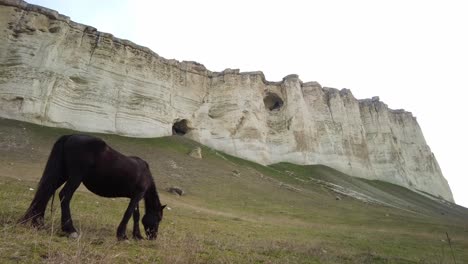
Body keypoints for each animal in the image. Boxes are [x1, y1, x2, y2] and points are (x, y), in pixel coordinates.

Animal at [19, 135, 165, 240]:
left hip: (61, 174)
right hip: (75, 177)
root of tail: (70, 137)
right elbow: (128, 213)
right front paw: (122, 235)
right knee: (64, 195)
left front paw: (137, 235)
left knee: (46, 192)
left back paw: (37, 222)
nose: (153, 237)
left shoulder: (135, 197)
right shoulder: (137, 195)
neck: (145, 173)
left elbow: (136, 215)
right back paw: (70, 230)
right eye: (158, 218)